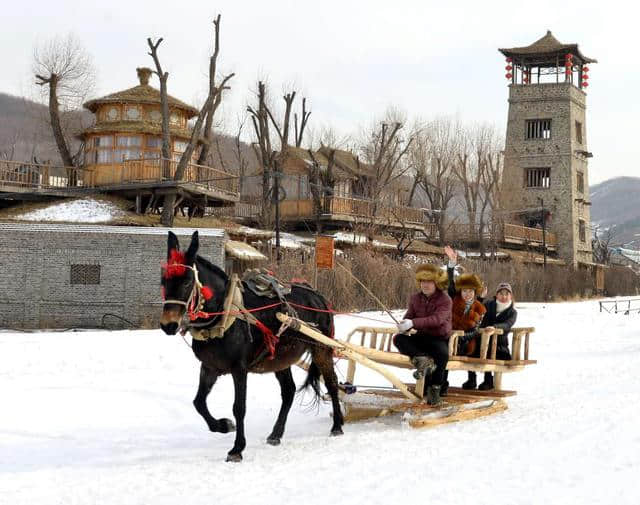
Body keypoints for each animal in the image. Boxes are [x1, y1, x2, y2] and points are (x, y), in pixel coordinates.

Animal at [158, 231, 342, 460]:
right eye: (164, 280)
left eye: (187, 282)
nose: (168, 324)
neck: (224, 314)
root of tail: (318, 296)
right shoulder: (209, 367)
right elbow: (198, 402)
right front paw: (223, 425)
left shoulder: (239, 368)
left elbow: (239, 407)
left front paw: (237, 448)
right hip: (279, 358)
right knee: (288, 391)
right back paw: (276, 433)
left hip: (321, 348)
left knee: (332, 383)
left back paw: (337, 425)